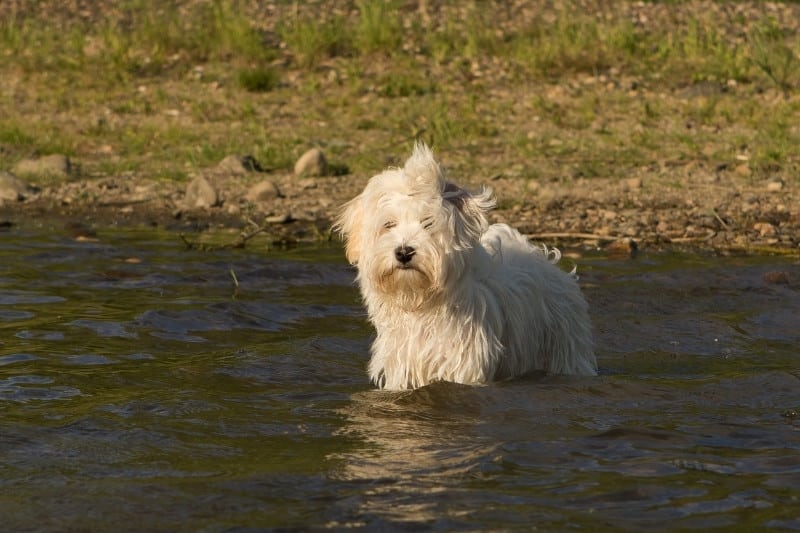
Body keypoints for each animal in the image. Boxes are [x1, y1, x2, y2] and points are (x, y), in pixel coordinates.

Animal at [334, 143, 596, 388]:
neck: (422, 304)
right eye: (389, 225)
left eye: (428, 223)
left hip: (565, 347)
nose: (404, 252)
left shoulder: (463, 361)